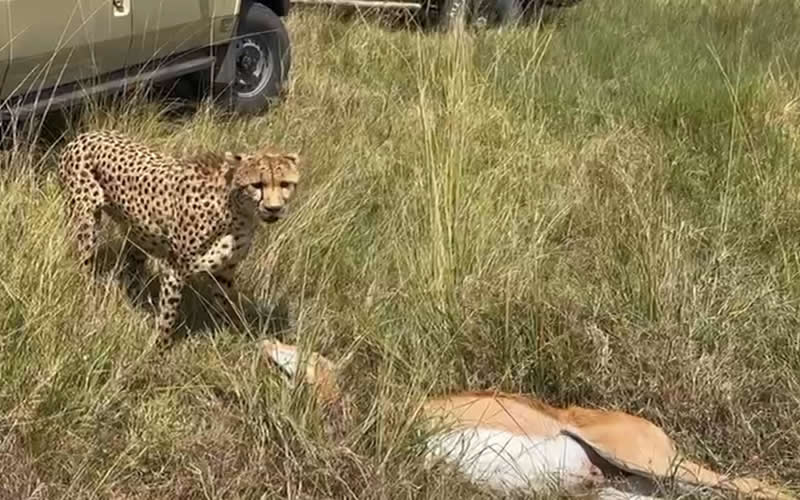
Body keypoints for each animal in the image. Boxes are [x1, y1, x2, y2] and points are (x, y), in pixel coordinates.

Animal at [58, 129, 300, 343]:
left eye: (285, 184)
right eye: (257, 185)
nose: (274, 208)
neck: (238, 212)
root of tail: (84, 135)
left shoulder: (225, 270)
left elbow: (223, 305)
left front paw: (222, 338)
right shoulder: (175, 270)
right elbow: (167, 318)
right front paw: (157, 351)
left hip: (137, 233)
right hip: (87, 224)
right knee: (85, 266)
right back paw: (90, 299)